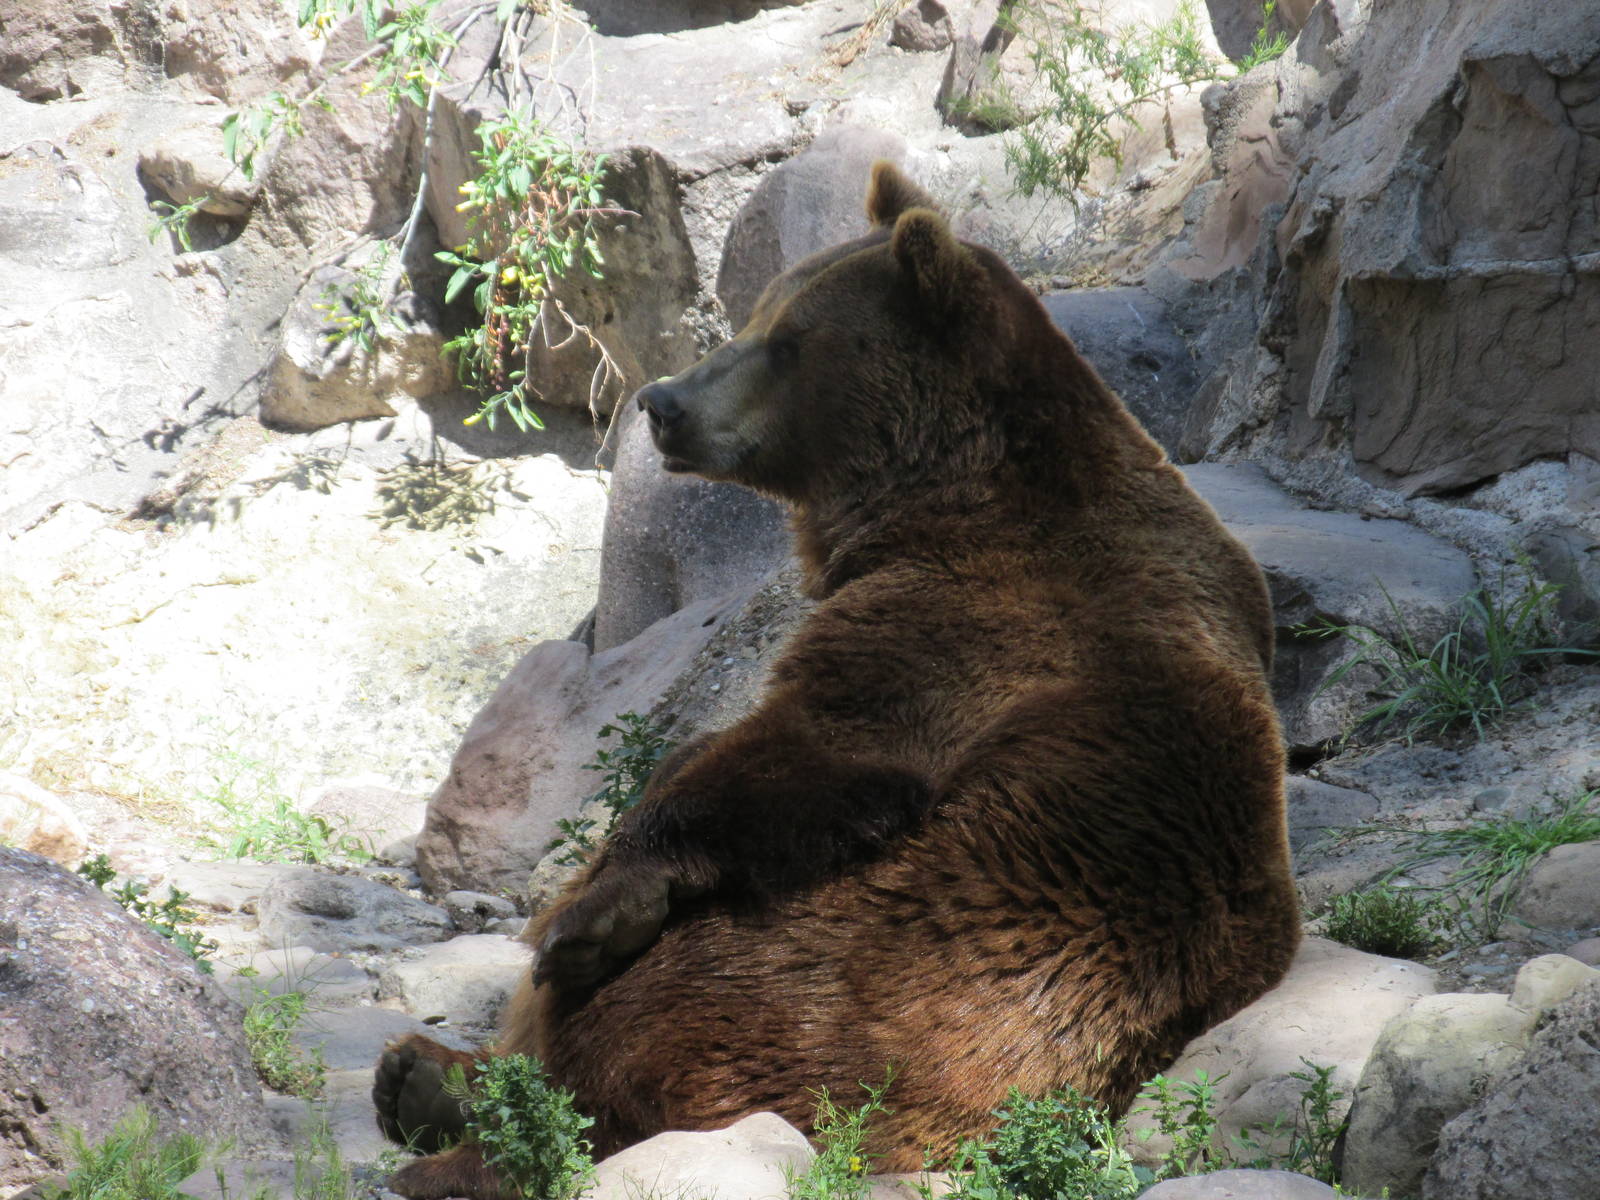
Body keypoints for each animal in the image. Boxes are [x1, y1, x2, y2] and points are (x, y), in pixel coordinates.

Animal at [373, 160, 1300, 1200]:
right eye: (756, 315)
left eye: (787, 342)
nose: (662, 403)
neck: (934, 494)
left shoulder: (979, 613)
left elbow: (808, 750)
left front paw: (591, 911)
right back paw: (423, 1074)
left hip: (832, 972)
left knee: (644, 1027)